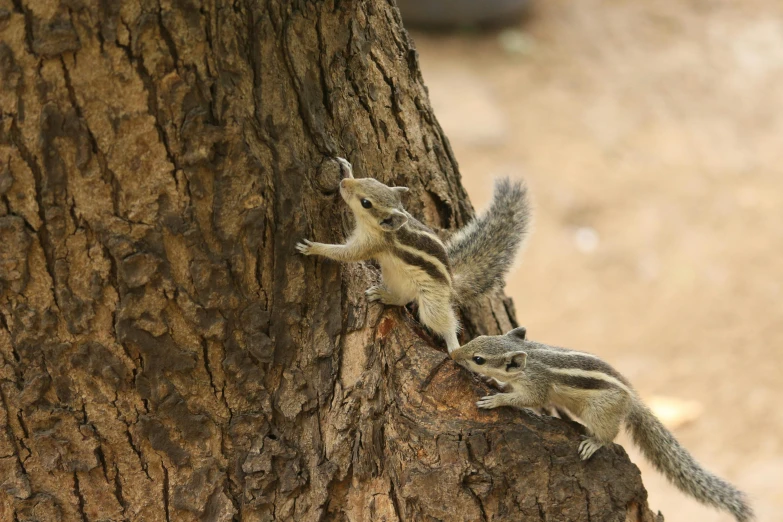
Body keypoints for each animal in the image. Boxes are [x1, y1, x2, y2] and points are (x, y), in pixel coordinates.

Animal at [298, 157, 528, 354]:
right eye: (369, 179)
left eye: (366, 203)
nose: (344, 183)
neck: (383, 228)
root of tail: (451, 286)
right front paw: (346, 168)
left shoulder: (370, 244)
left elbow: (347, 254)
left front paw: (314, 247)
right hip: (394, 277)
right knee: (402, 299)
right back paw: (386, 296)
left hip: (431, 301)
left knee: (442, 321)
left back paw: (454, 346)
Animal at [454, 330, 752, 520]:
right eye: (477, 338)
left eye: (478, 359)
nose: (454, 354)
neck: (529, 357)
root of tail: (631, 401)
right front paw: (494, 382)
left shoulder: (536, 386)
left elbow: (527, 399)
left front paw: (496, 399)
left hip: (599, 410)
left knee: (610, 435)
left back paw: (594, 442)